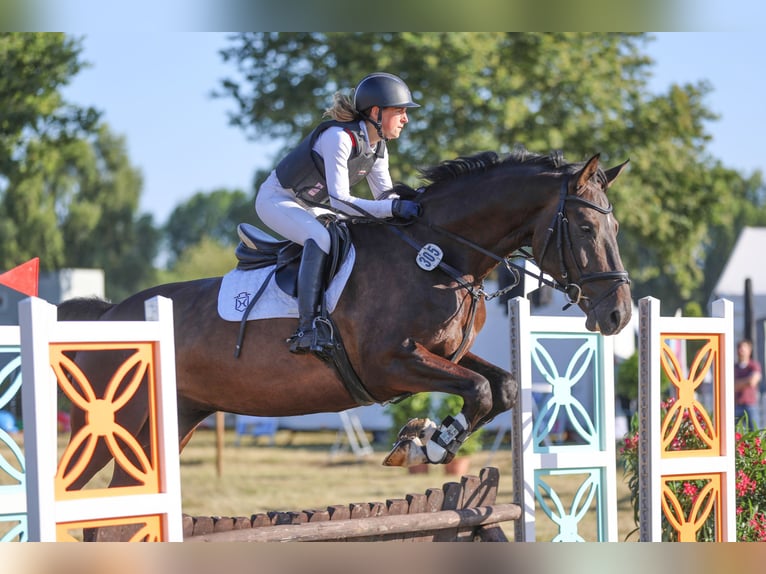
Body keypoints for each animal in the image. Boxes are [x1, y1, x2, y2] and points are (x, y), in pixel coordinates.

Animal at [57, 148, 632, 496]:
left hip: (171, 422)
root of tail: (111, 312)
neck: (438, 254)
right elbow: (481, 390)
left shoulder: (443, 354)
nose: (618, 314)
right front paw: (428, 441)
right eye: (585, 227)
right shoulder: (389, 364)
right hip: (114, 424)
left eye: (615, 227)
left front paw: (423, 436)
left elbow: (503, 387)